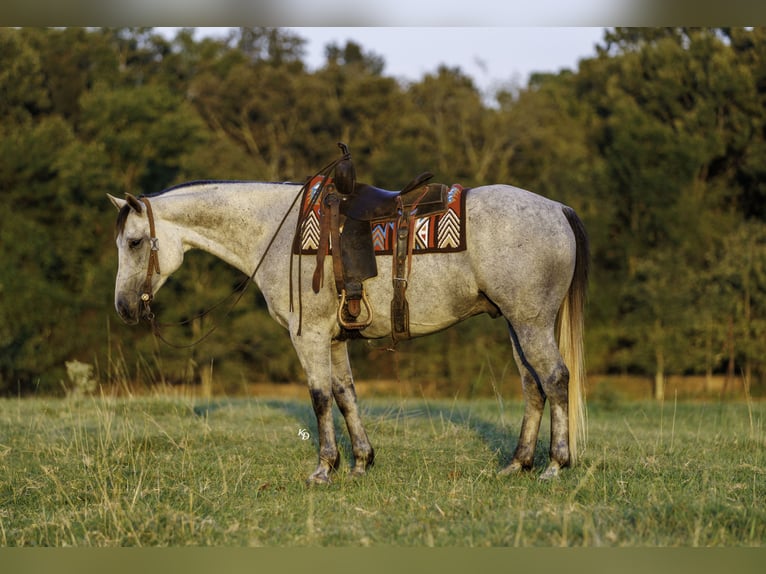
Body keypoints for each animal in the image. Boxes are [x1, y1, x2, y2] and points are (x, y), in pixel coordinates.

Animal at [108, 177, 589, 483]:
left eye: (134, 242)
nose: (124, 308)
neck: (278, 233)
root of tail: (558, 209)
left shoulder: (309, 336)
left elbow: (320, 398)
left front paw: (325, 467)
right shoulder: (335, 338)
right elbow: (346, 395)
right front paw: (361, 461)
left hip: (530, 323)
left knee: (555, 379)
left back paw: (555, 465)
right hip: (516, 325)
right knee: (532, 385)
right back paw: (518, 464)